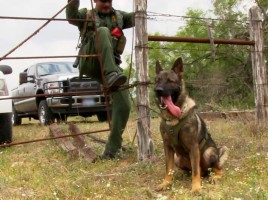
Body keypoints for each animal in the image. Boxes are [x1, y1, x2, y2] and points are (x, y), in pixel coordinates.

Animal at [155, 57, 228, 191]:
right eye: (157, 81)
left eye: (170, 81)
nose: (158, 91)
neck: (174, 118)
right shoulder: (167, 147)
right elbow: (168, 169)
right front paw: (166, 183)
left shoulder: (193, 146)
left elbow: (195, 171)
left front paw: (196, 188)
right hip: (177, 158)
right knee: (192, 170)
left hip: (208, 153)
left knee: (214, 170)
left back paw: (214, 177)